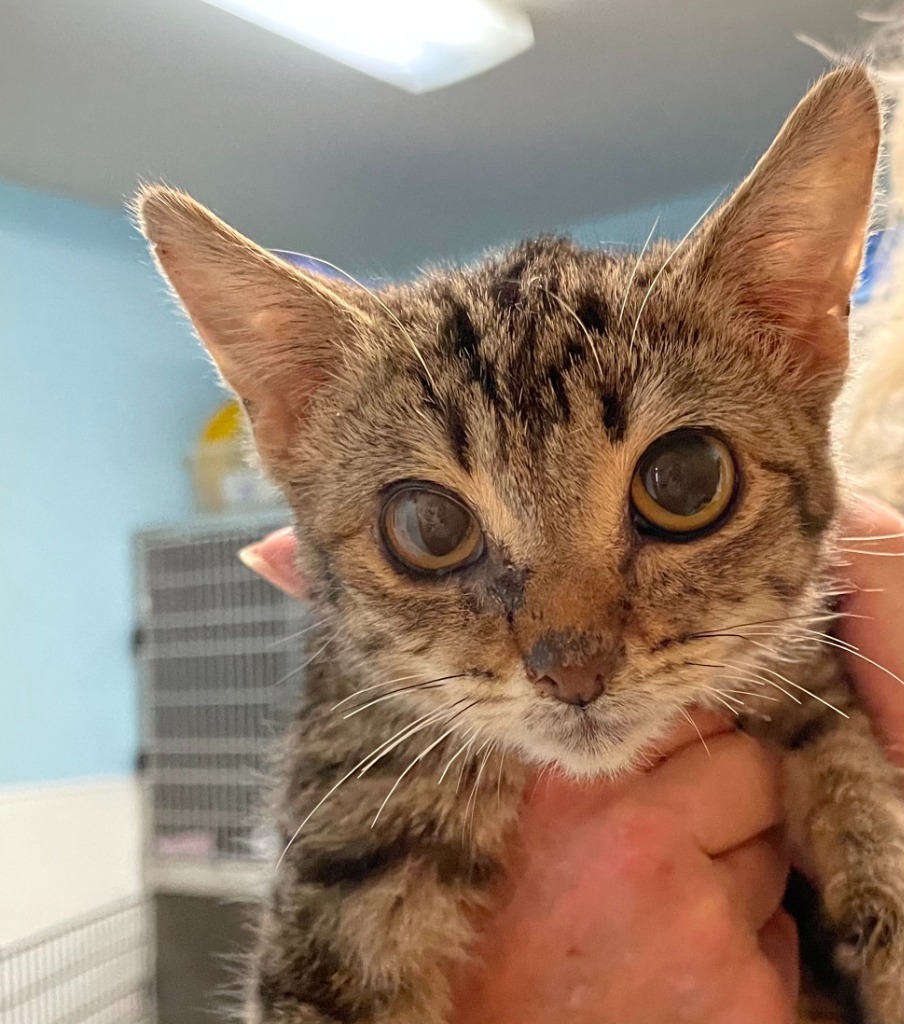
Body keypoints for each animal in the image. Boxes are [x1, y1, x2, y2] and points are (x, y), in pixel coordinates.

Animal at [138, 66, 904, 1024]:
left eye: (686, 480)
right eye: (428, 526)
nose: (571, 669)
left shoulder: (806, 677)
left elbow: (854, 780)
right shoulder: (352, 794)